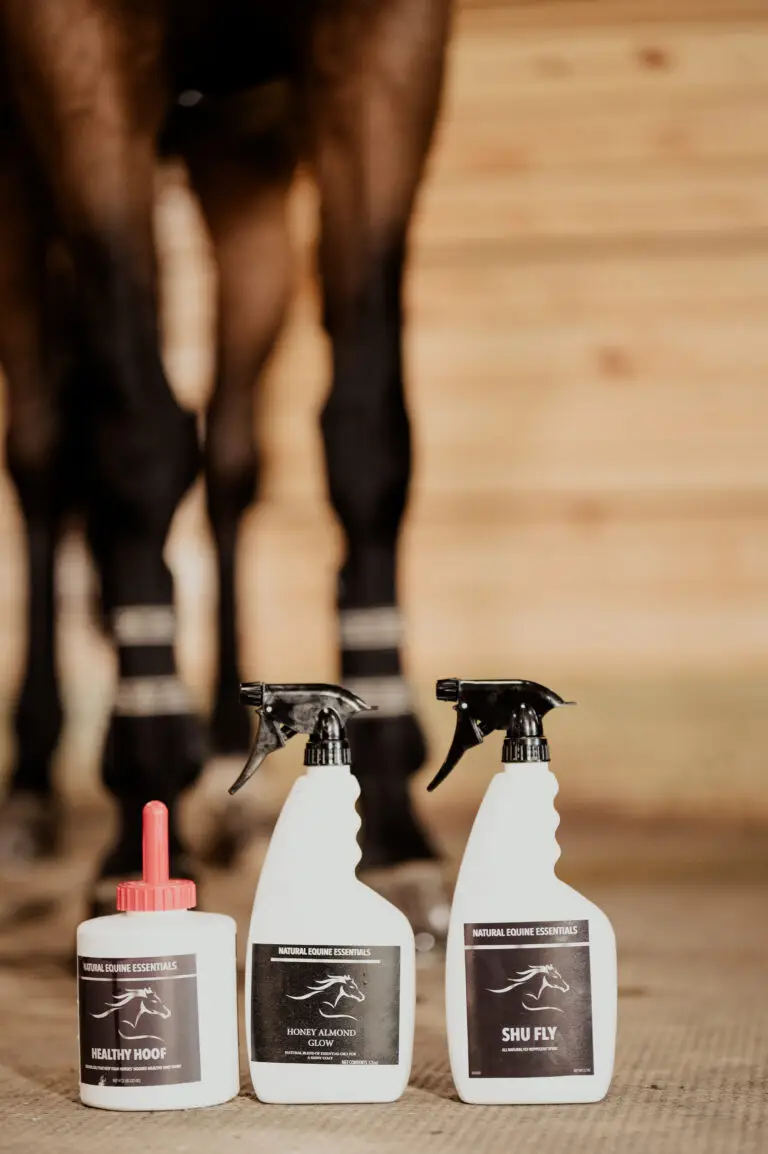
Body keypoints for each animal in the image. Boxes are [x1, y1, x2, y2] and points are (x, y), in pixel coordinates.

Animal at [0, 0, 453, 930]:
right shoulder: (70, 49)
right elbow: (137, 443)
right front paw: (136, 809)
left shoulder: (389, 39)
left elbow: (367, 439)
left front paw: (395, 826)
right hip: (22, 175)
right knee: (40, 455)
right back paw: (31, 785)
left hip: (243, 171)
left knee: (231, 460)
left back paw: (214, 764)